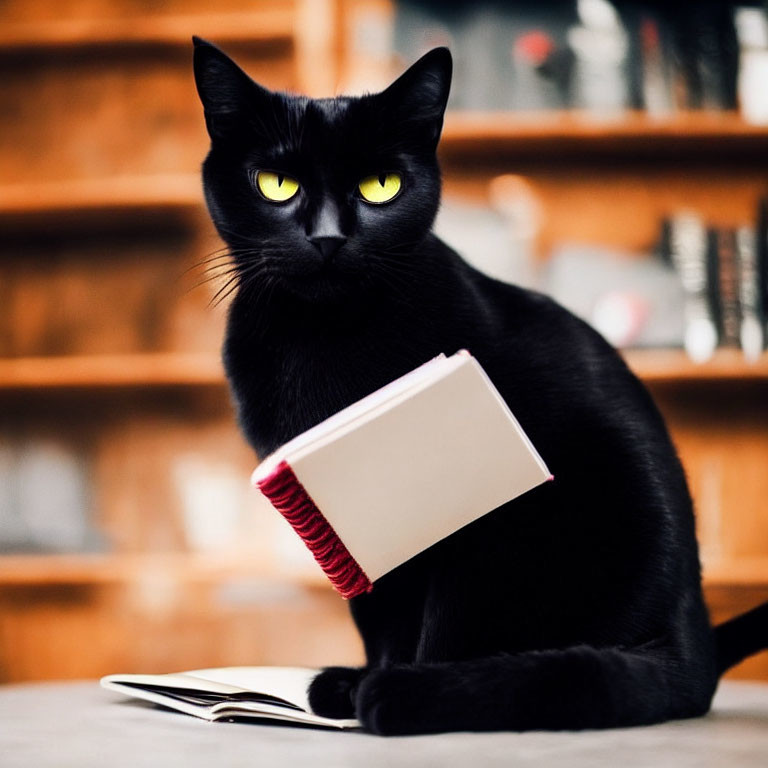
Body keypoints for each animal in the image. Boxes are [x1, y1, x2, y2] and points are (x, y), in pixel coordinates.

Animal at [194, 39, 768, 736]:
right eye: (277, 184)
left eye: (380, 187)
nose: (329, 236)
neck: (324, 347)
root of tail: (698, 646)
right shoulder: (362, 541)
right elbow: (381, 615)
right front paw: (360, 680)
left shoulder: (473, 528)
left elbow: (440, 624)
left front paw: (398, 686)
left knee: (578, 672)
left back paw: (405, 695)